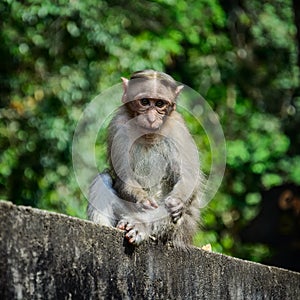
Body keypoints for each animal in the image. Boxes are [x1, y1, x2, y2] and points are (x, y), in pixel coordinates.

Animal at [87, 69, 204, 246]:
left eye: (160, 104)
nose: (151, 118)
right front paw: (143, 200)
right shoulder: (119, 124)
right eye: (144, 101)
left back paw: (140, 225)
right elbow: (124, 178)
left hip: (180, 231)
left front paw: (176, 202)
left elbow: (188, 179)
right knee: (104, 178)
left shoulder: (177, 129)